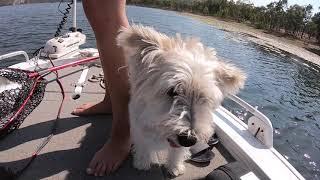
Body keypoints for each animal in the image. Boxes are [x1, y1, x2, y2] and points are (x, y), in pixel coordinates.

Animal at [116, 24, 246, 176]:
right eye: (173, 91)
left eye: (204, 97)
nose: (189, 139)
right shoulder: (139, 128)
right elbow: (143, 145)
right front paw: (142, 162)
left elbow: (177, 152)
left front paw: (174, 167)